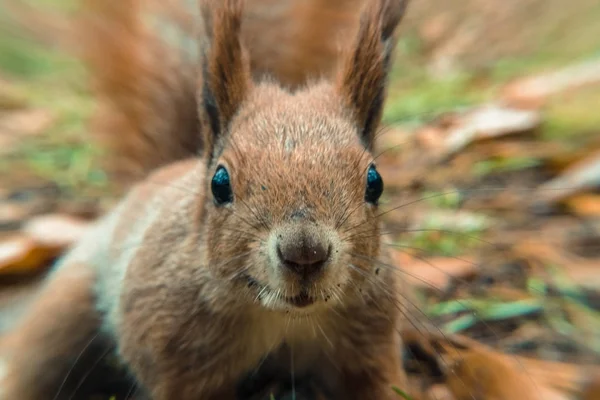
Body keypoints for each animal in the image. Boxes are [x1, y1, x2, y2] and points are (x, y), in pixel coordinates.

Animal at [0, 0, 418, 398]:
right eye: (220, 183)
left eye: (375, 182)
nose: (305, 254)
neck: (283, 316)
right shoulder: (176, 357)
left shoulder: (369, 347)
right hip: (63, 316)